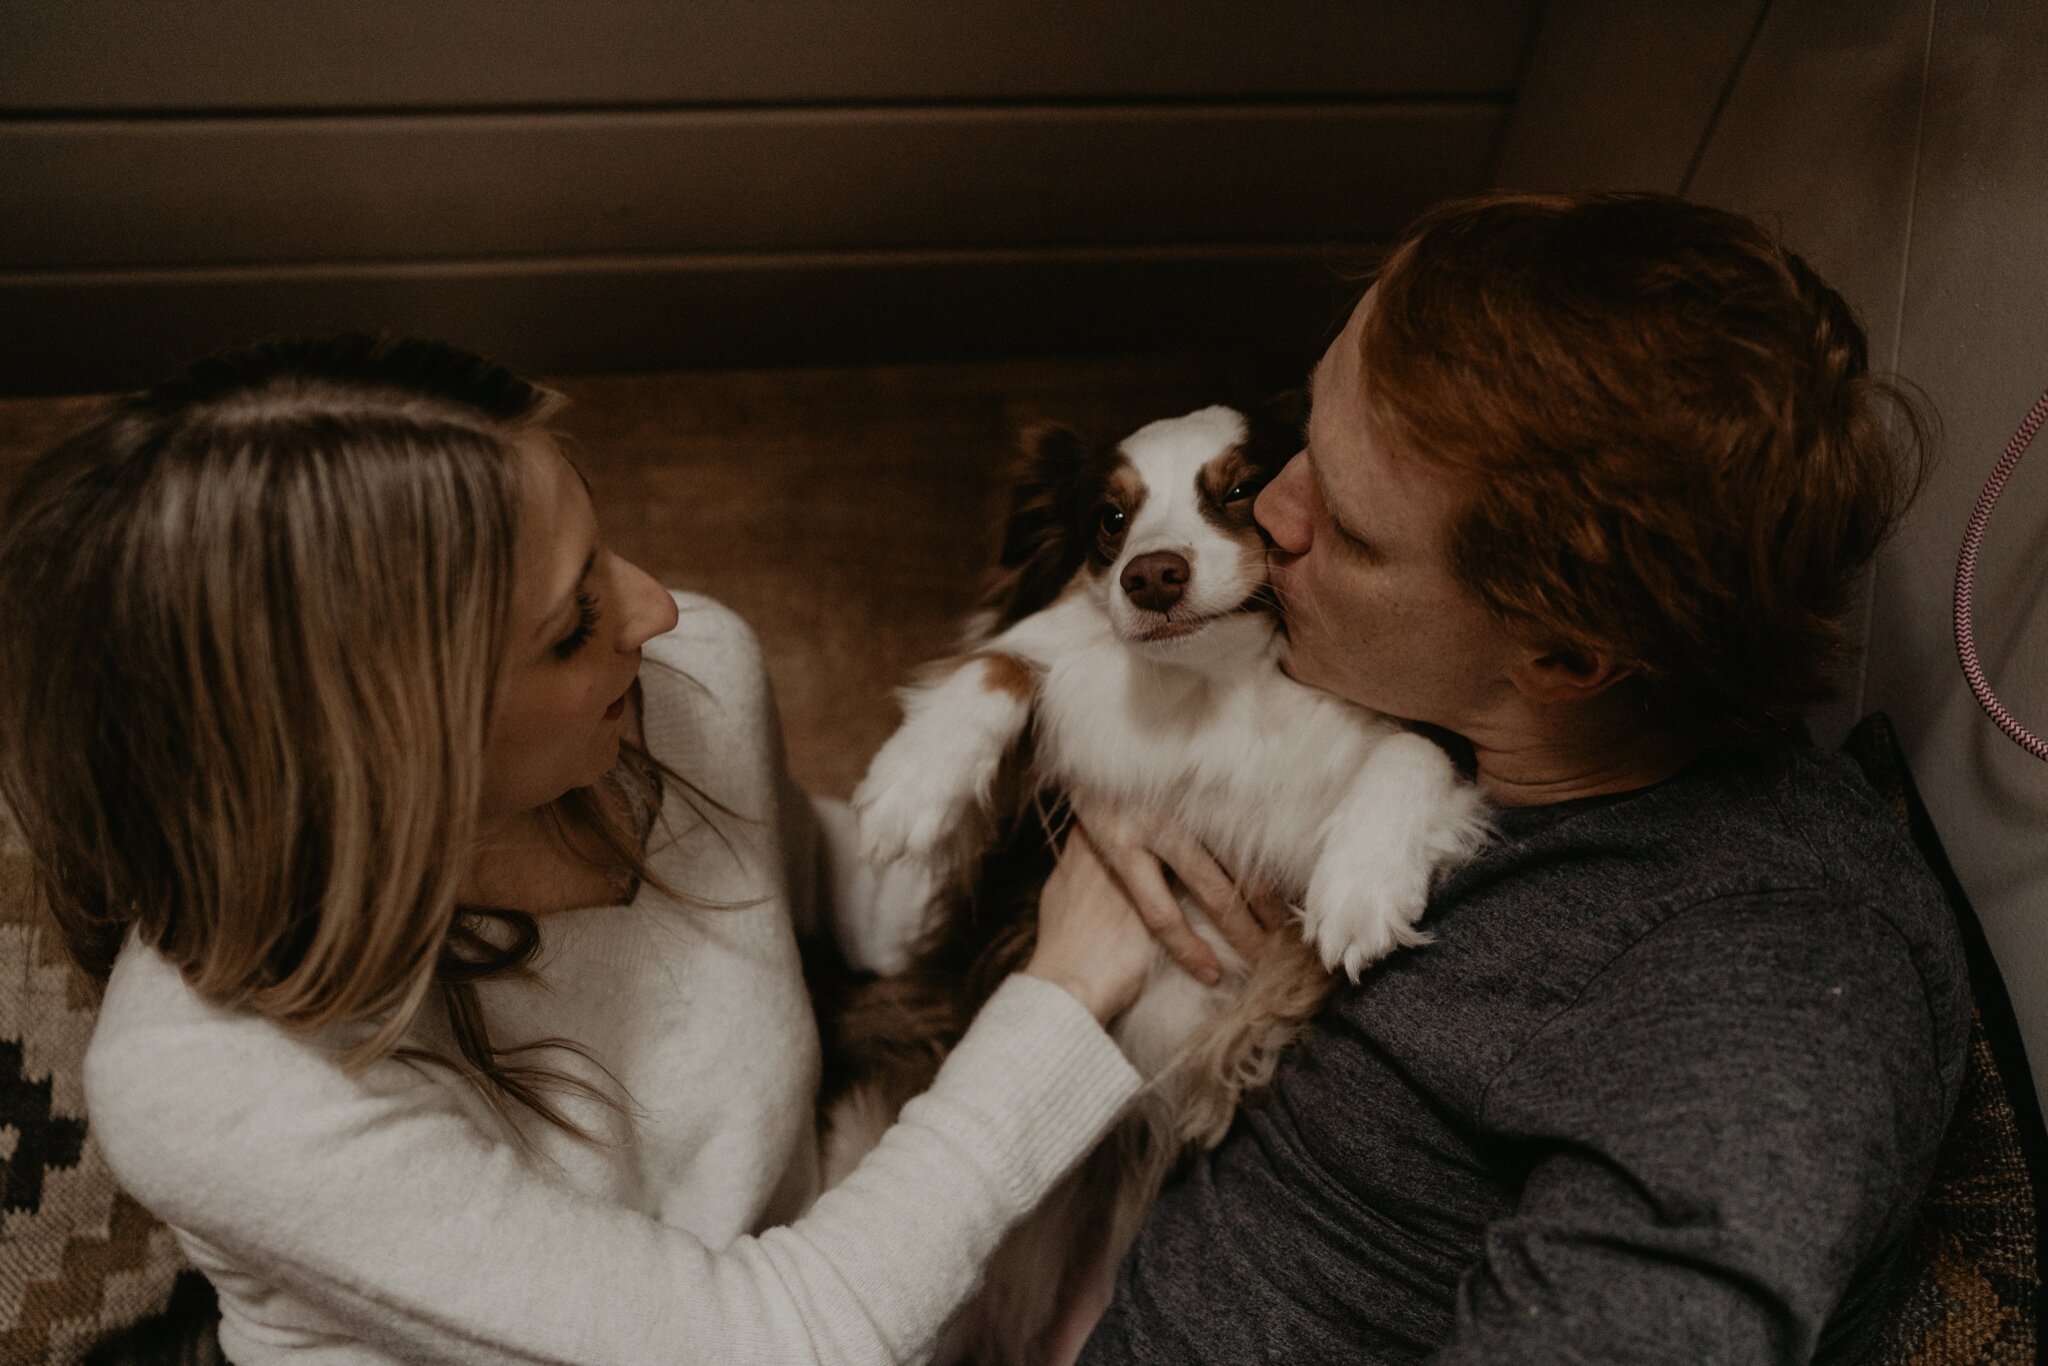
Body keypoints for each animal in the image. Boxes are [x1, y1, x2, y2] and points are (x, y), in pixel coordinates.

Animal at [819, 405, 1490, 1366]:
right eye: (1111, 519)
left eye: (1243, 488)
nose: (1151, 576)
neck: (1213, 690)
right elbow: (1010, 656)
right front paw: (914, 778)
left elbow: (1420, 742)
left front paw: (1362, 881)